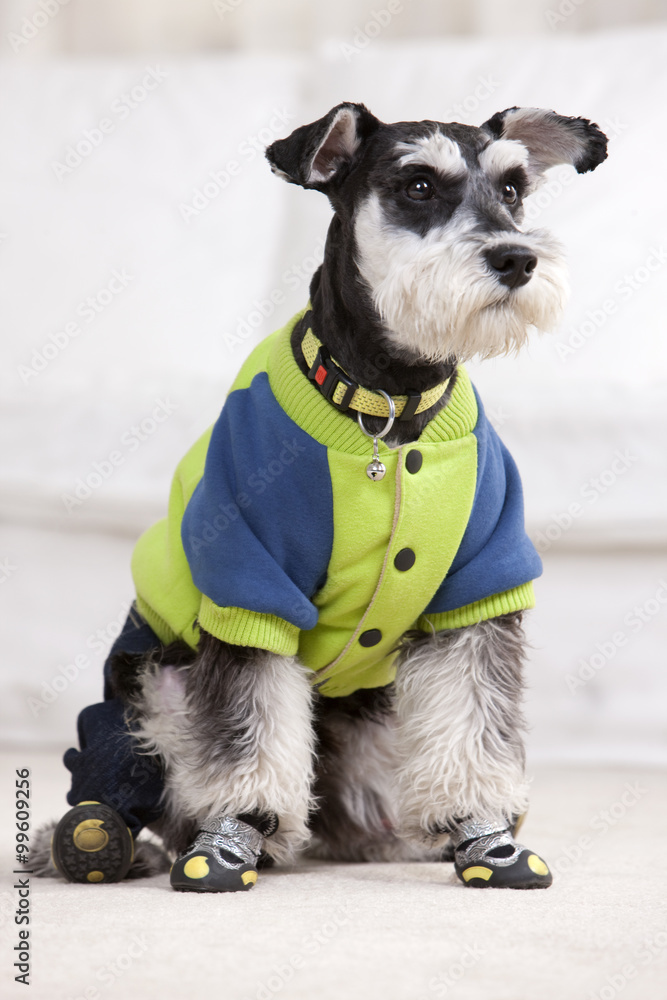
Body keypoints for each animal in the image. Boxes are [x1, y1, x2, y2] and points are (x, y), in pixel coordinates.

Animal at [37, 101, 612, 892]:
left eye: (513, 189)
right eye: (418, 185)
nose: (516, 259)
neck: (388, 407)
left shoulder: (476, 594)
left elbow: (471, 722)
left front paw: (485, 837)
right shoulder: (250, 587)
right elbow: (247, 730)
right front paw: (236, 836)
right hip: (150, 696)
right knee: (131, 785)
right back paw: (99, 844)